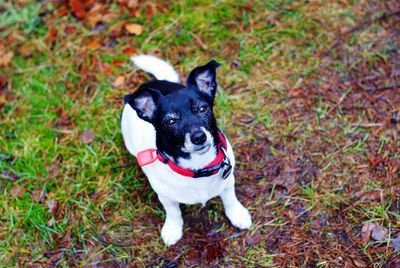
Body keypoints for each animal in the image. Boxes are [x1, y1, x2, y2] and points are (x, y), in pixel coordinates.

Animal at [120, 55, 252, 246]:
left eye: (202, 108)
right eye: (170, 121)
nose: (199, 137)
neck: (198, 166)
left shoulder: (228, 181)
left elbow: (230, 199)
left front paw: (238, 215)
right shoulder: (166, 197)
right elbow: (174, 212)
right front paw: (173, 229)